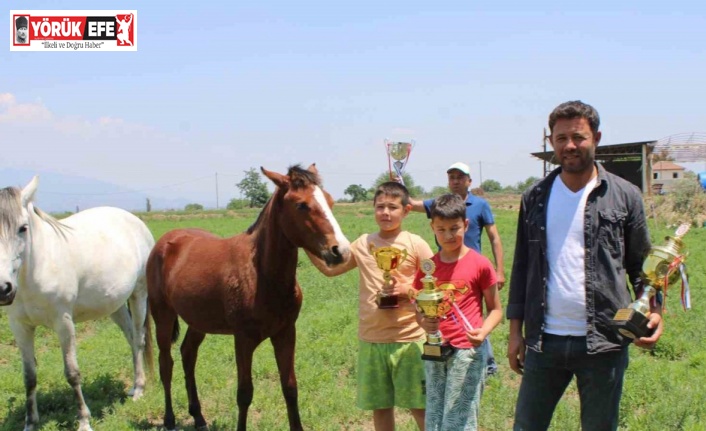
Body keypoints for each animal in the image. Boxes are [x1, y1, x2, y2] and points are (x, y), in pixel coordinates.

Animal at [0, 176, 155, 431]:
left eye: (23, 228)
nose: (4, 288)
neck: (36, 268)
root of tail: (135, 220)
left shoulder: (63, 322)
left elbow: (72, 372)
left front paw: (84, 420)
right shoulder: (19, 326)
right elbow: (29, 376)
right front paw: (30, 423)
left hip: (139, 294)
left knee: (139, 339)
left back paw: (140, 389)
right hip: (115, 305)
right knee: (131, 337)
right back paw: (133, 387)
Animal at [146, 164, 350, 430]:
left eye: (330, 200)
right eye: (301, 205)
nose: (340, 251)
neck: (262, 275)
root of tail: (165, 242)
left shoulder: (285, 333)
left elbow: (290, 387)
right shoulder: (242, 340)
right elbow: (244, 393)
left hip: (197, 321)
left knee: (188, 355)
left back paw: (199, 417)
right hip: (162, 315)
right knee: (166, 364)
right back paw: (169, 419)